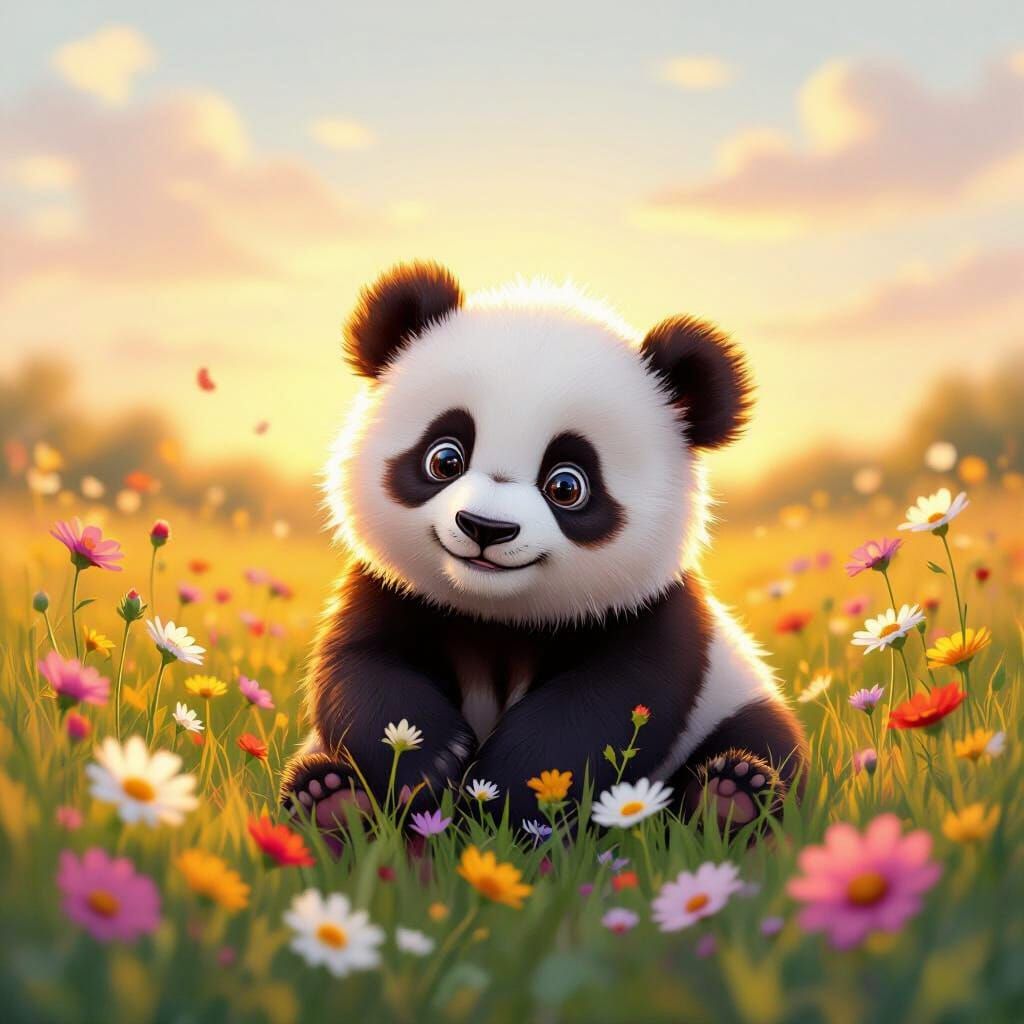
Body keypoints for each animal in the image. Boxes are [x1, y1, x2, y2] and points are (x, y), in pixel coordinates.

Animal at [281, 261, 807, 837]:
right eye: (445, 459)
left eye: (566, 486)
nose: (485, 527)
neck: (497, 615)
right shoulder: (392, 587)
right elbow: (359, 668)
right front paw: (429, 762)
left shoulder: (650, 610)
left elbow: (607, 703)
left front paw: (511, 793)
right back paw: (330, 798)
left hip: (735, 696)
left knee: (765, 741)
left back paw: (730, 795)